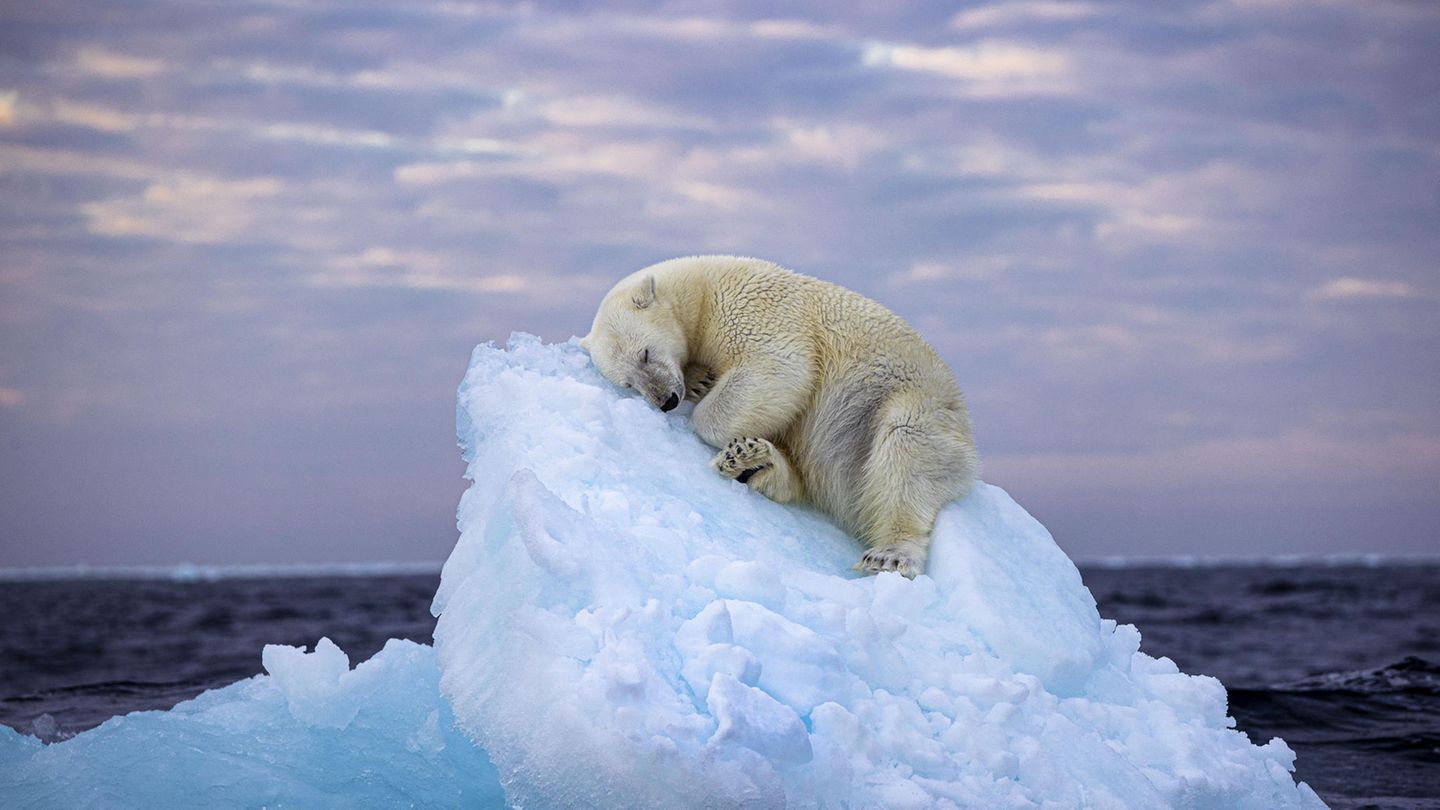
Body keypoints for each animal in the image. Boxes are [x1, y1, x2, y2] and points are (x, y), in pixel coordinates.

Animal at [581, 255, 979, 578]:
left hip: (908, 403)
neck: (702, 289)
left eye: (645, 353)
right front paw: (700, 381)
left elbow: (780, 368)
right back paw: (753, 462)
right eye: (628, 383)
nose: (666, 400)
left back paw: (890, 554)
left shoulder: (754, 309)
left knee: (905, 451)